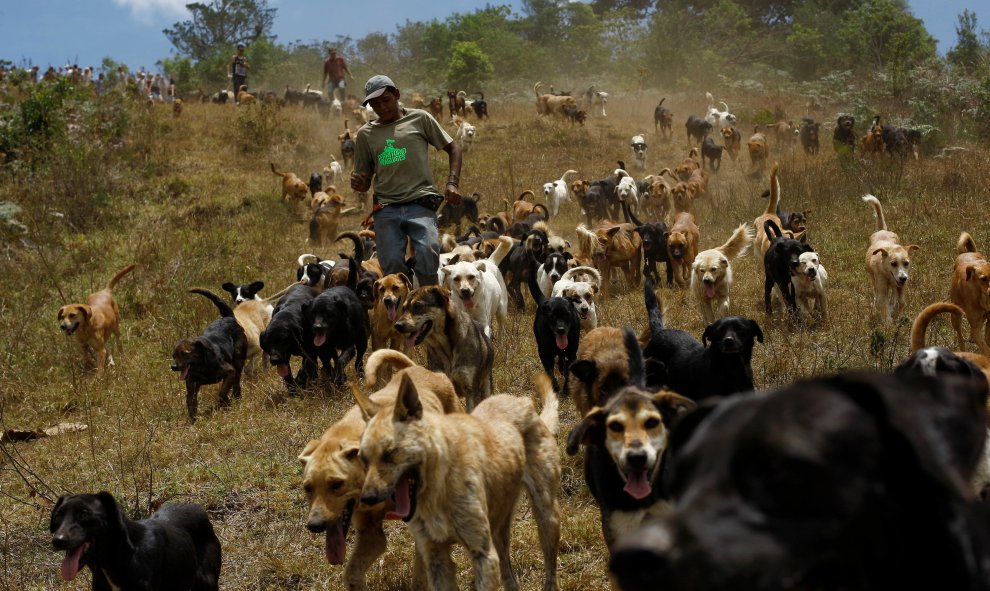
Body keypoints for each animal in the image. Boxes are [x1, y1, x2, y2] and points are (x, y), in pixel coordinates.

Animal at [171, 290, 247, 424]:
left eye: (185, 353)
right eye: (174, 355)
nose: (173, 366)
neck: (201, 367)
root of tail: (229, 317)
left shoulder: (230, 371)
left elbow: (222, 392)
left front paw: (225, 404)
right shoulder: (191, 387)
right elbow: (191, 404)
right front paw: (193, 423)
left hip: (238, 362)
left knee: (236, 383)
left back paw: (236, 398)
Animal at [868, 194, 924, 324]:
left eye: (906, 263)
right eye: (893, 263)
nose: (903, 278)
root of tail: (882, 230)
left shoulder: (901, 286)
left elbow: (901, 302)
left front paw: (894, 312)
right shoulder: (881, 286)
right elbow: (882, 303)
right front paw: (888, 322)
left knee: (894, 293)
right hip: (874, 280)